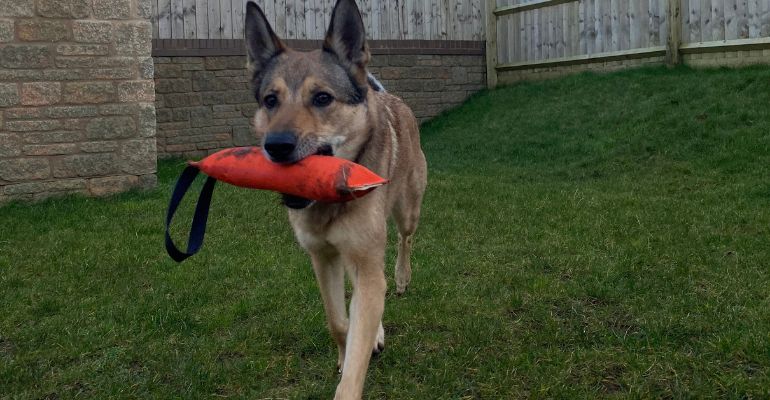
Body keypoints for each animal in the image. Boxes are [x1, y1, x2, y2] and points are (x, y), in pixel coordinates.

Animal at [244, 1, 428, 398]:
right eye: (270, 100)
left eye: (322, 98)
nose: (276, 146)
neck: (329, 197)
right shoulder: (322, 256)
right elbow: (338, 321)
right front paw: (351, 351)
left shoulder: (366, 258)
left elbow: (363, 314)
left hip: (407, 209)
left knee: (404, 240)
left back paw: (402, 277)